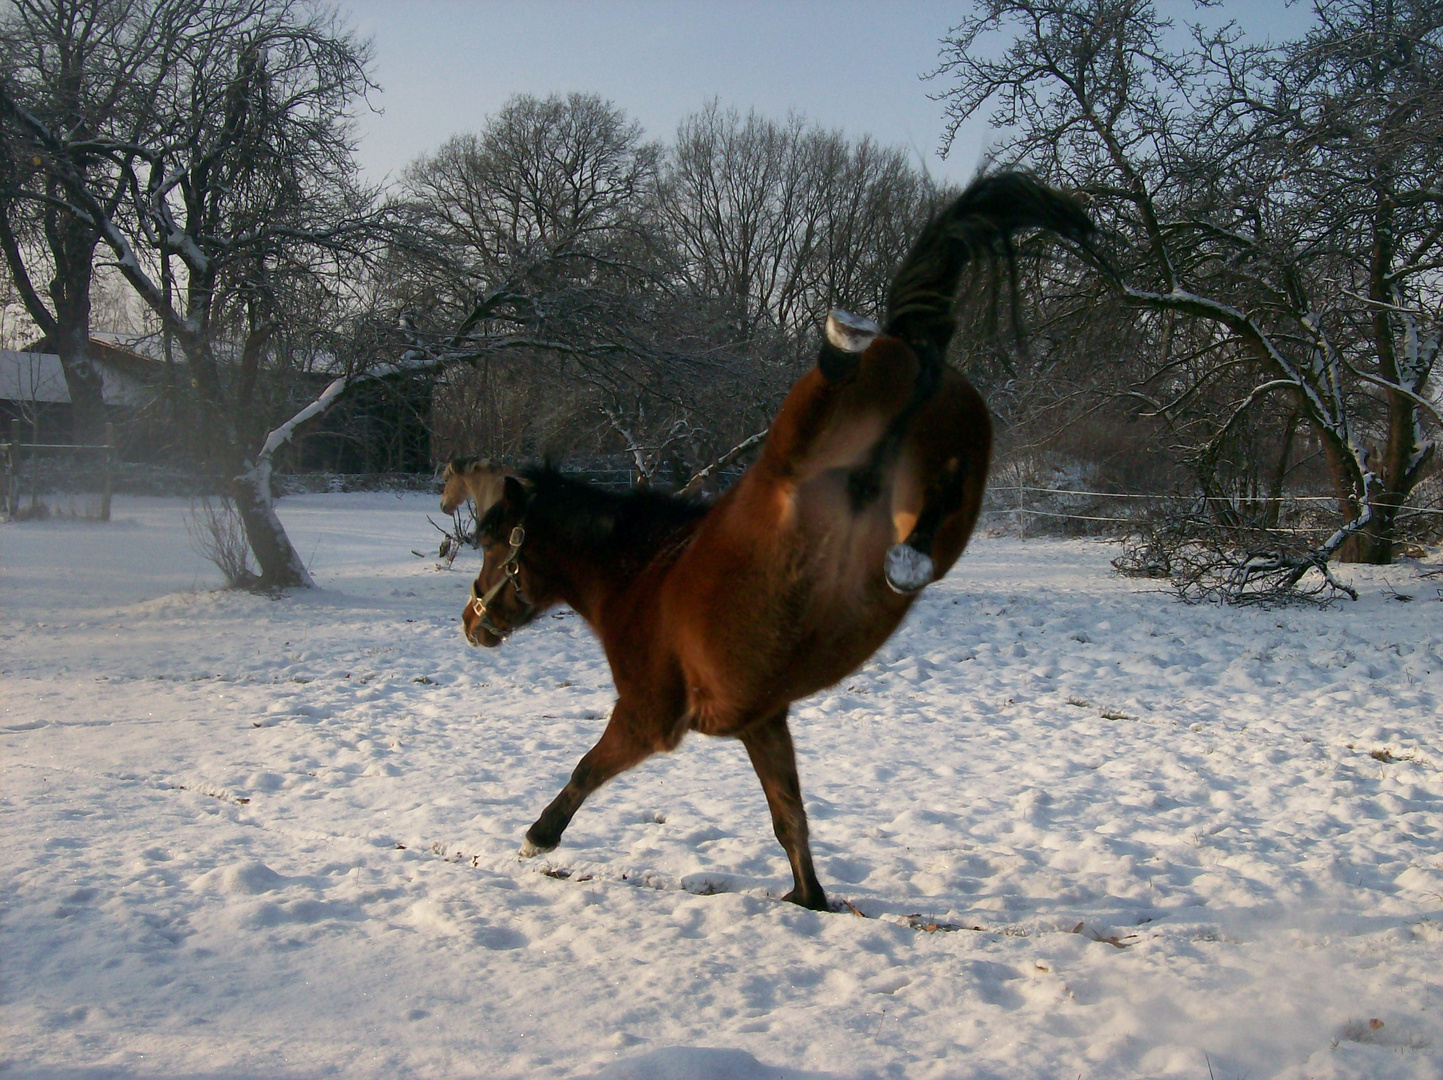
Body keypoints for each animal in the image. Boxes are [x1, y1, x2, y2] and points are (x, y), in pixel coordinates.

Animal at [455, 173, 1085, 906]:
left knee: (830, 395)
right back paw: (903, 547)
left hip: (800, 448)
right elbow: (789, 817)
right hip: (958, 458)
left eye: (497, 547)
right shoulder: (762, 720)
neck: (642, 578)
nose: (470, 621)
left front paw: (537, 838)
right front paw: (809, 900)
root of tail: (913, 349)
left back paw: (847, 337)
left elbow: (587, 768)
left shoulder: (648, 715)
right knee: (943, 507)